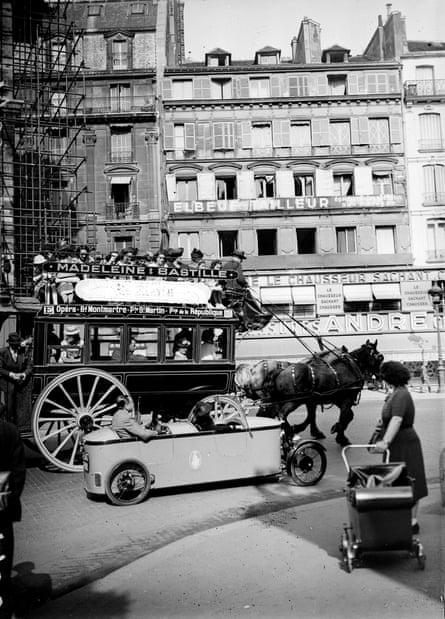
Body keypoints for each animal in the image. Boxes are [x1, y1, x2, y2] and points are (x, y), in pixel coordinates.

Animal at [234, 340, 384, 446]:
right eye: (380, 357)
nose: (380, 376)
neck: (349, 367)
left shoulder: (326, 399)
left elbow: (317, 416)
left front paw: (330, 430)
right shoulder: (346, 398)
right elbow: (344, 417)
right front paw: (340, 435)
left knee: (271, 415)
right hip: (292, 401)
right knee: (280, 414)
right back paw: (289, 432)